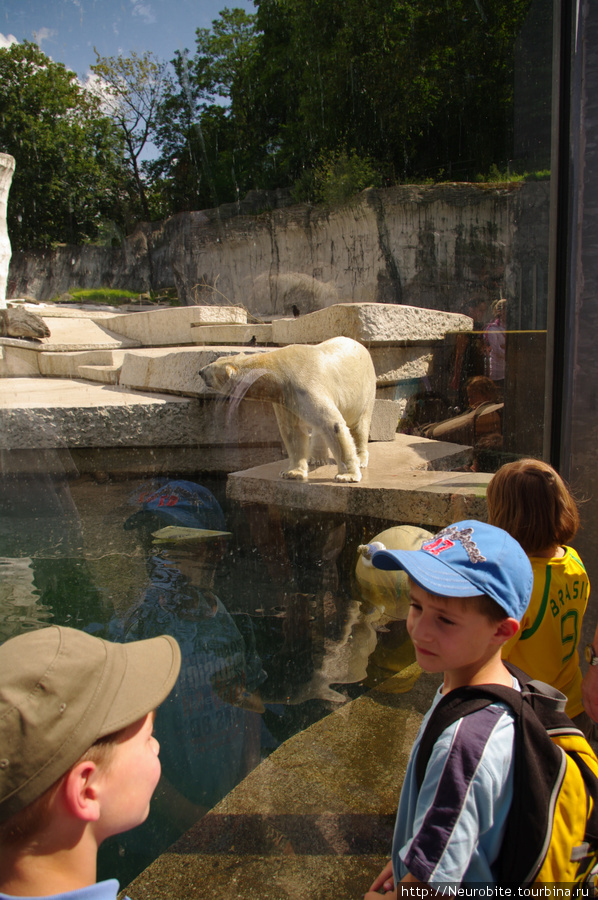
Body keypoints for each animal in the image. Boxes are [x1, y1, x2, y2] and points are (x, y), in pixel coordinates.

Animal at [202, 336, 380, 482]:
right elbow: (292, 430)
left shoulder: (305, 385)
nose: (200, 371)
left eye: (211, 367)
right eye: (216, 359)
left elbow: (333, 424)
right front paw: (292, 473)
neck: (278, 371)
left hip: (365, 390)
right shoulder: (286, 398)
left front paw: (347, 476)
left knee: (360, 425)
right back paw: (316, 458)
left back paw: (361, 459)